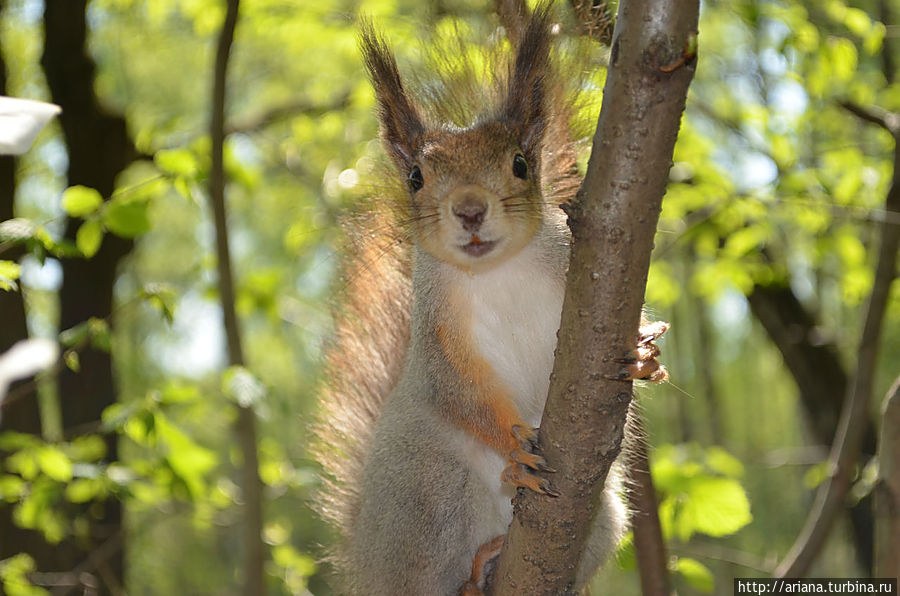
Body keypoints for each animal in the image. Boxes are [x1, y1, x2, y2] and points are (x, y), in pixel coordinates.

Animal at [312, 5, 664, 596]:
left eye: (520, 163)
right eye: (416, 177)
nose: (470, 209)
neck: (496, 272)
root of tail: (366, 565)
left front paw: (642, 354)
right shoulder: (437, 332)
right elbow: (461, 392)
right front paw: (515, 447)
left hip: (603, 518)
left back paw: (491, 561)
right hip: (426, 493)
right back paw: (471, 574)